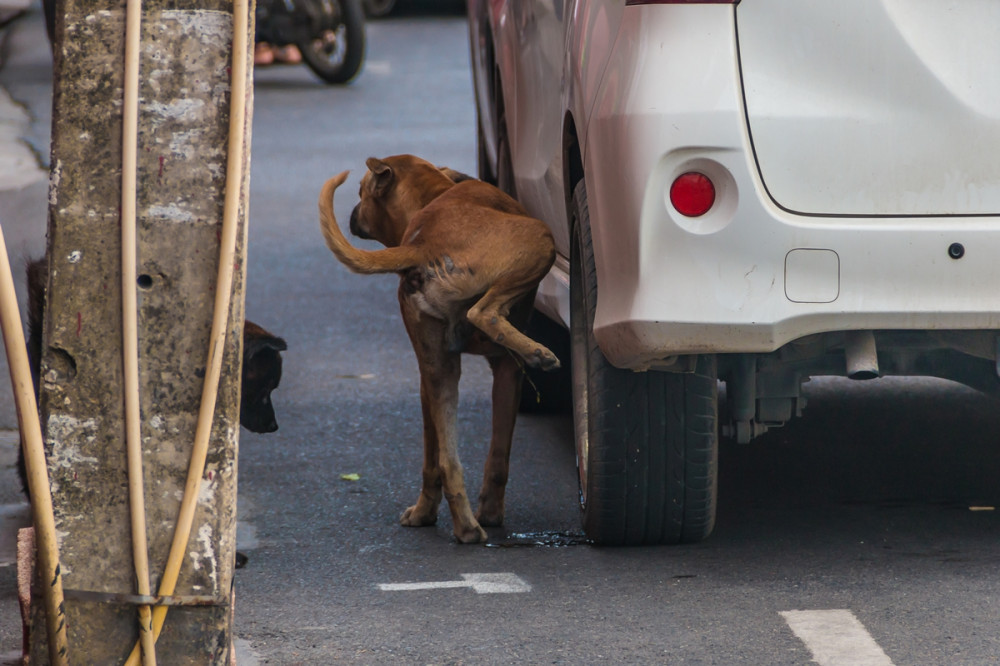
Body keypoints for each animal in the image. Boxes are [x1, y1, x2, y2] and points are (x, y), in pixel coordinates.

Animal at [318, 153, 560, 544]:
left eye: (360, 192)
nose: (353, 214)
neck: (432, 197)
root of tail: (423, 245)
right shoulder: (507, 371)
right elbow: (499, 454)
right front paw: (492, 512)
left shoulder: (428, 378)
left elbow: (442, 457)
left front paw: (425, 513)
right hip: (540, 238)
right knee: (485, 313)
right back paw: (538, 353)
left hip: (441, 372)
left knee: (447, 462)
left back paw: (465, 527)